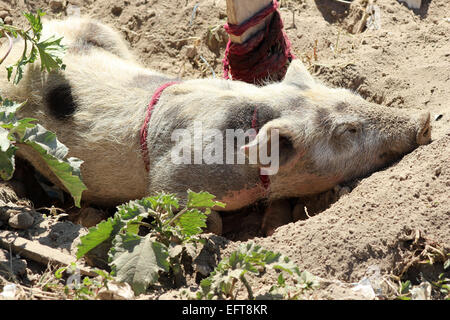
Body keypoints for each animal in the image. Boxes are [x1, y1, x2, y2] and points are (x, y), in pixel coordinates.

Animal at [0, 17, 432, 235]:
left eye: (350, 93)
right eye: (348, 130)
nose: (426, 120)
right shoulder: (171, 183)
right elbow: (202, 217)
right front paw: (218, 230)